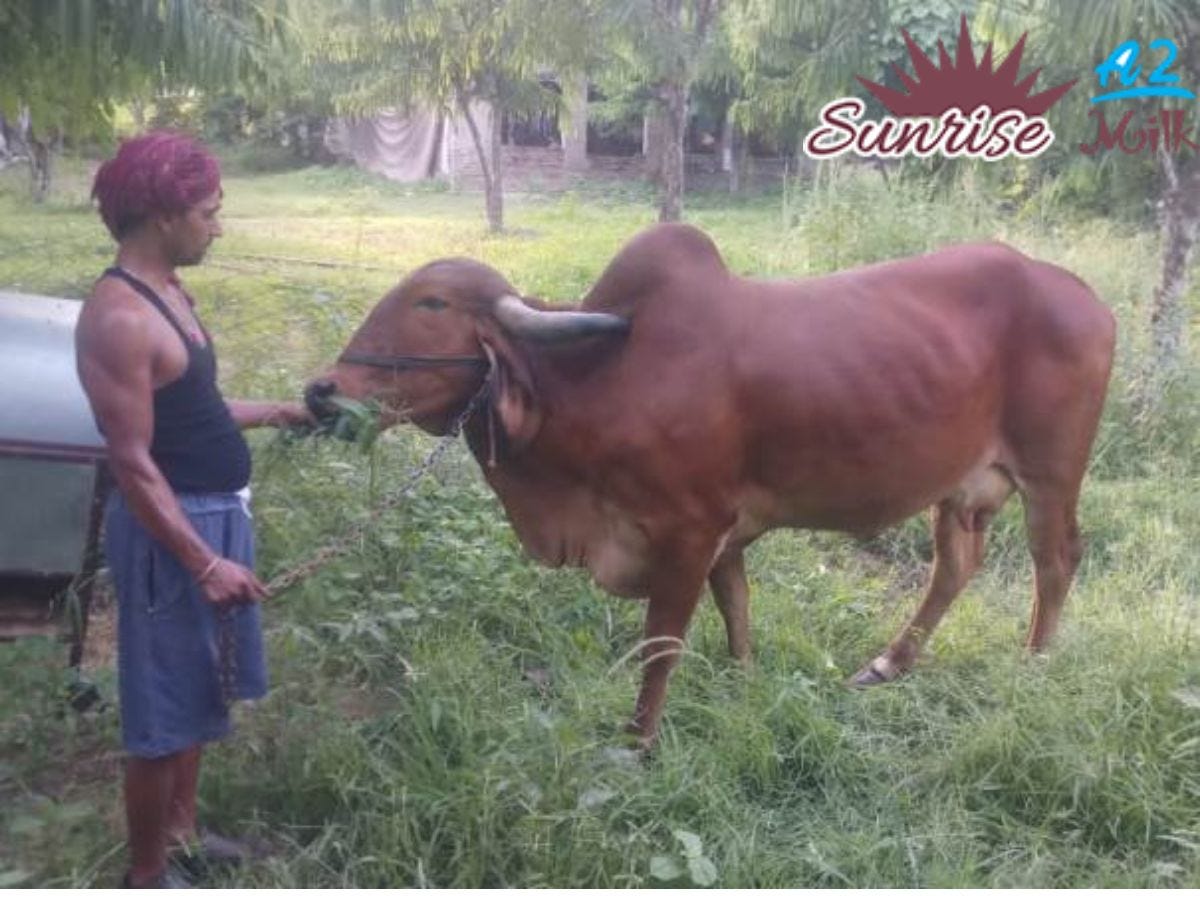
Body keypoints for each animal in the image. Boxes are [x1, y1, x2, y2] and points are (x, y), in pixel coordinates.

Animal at [305, 223, 1116, 748]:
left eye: (432, 304)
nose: (320, 392)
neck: (600, 382)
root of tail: (1081, 293)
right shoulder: (726, 530)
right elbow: (738, 610)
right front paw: (745, 682)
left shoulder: (687, 532)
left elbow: (661, 646)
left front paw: (637, 743)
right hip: (964, 487)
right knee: (956, 565)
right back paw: (889, 663)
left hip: (1051, 472)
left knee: (1056, 562)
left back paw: (1035, 666)